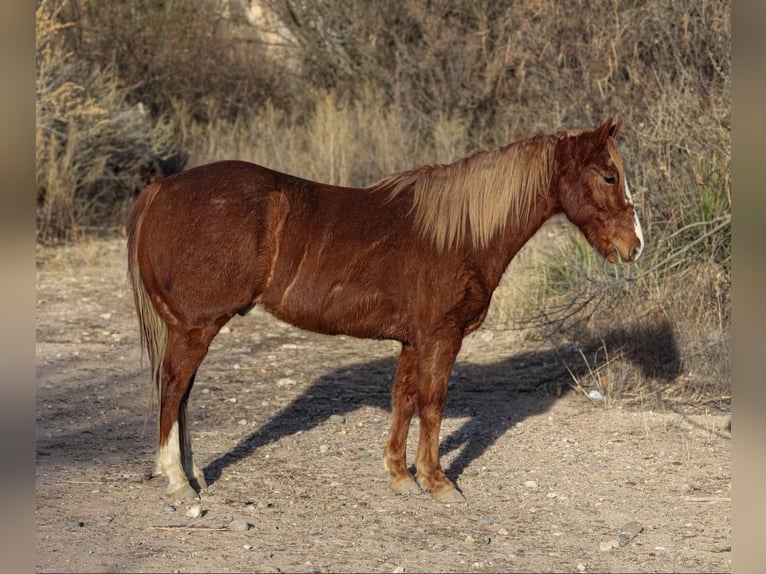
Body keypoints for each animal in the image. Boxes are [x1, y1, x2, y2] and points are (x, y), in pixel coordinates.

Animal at [129, 120, 644, 504]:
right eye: (610, 176)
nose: (634, 245)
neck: (458, 233)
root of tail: (159, 189)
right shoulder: (441, 337)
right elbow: (433, 404)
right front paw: (438, 481)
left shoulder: (413, 341)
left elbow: (405, 400)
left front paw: (400, 474)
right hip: (195, 328)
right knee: (173, 389)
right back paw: (177, 480)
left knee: (182, 395)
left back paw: (193, 474)